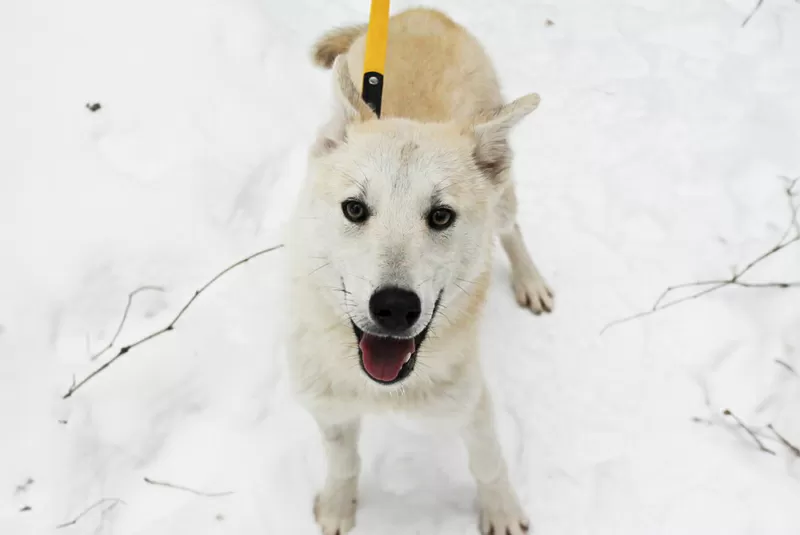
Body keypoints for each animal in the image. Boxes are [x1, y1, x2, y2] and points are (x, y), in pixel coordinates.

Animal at [284, 8, 552, 535]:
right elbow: (342, 462)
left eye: (441, 216)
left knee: (512, 230)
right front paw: (338, 508)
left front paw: (501, 512)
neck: (382, 389)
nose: (394, 308)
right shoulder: (328, 408)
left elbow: (488, 463)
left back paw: (530, 282)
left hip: (504, 201)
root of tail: (422, 13)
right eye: (354, 209)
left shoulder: (471, 403)